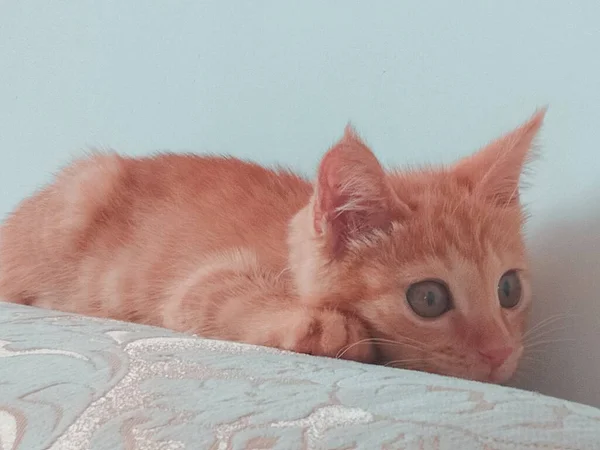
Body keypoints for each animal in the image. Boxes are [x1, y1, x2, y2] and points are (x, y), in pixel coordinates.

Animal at [0, 111, 544, 384]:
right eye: (428, 298)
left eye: (509, 290)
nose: (500, 352)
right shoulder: (197, 286)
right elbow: (222, 297)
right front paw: (328, 327)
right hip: (82, 188)